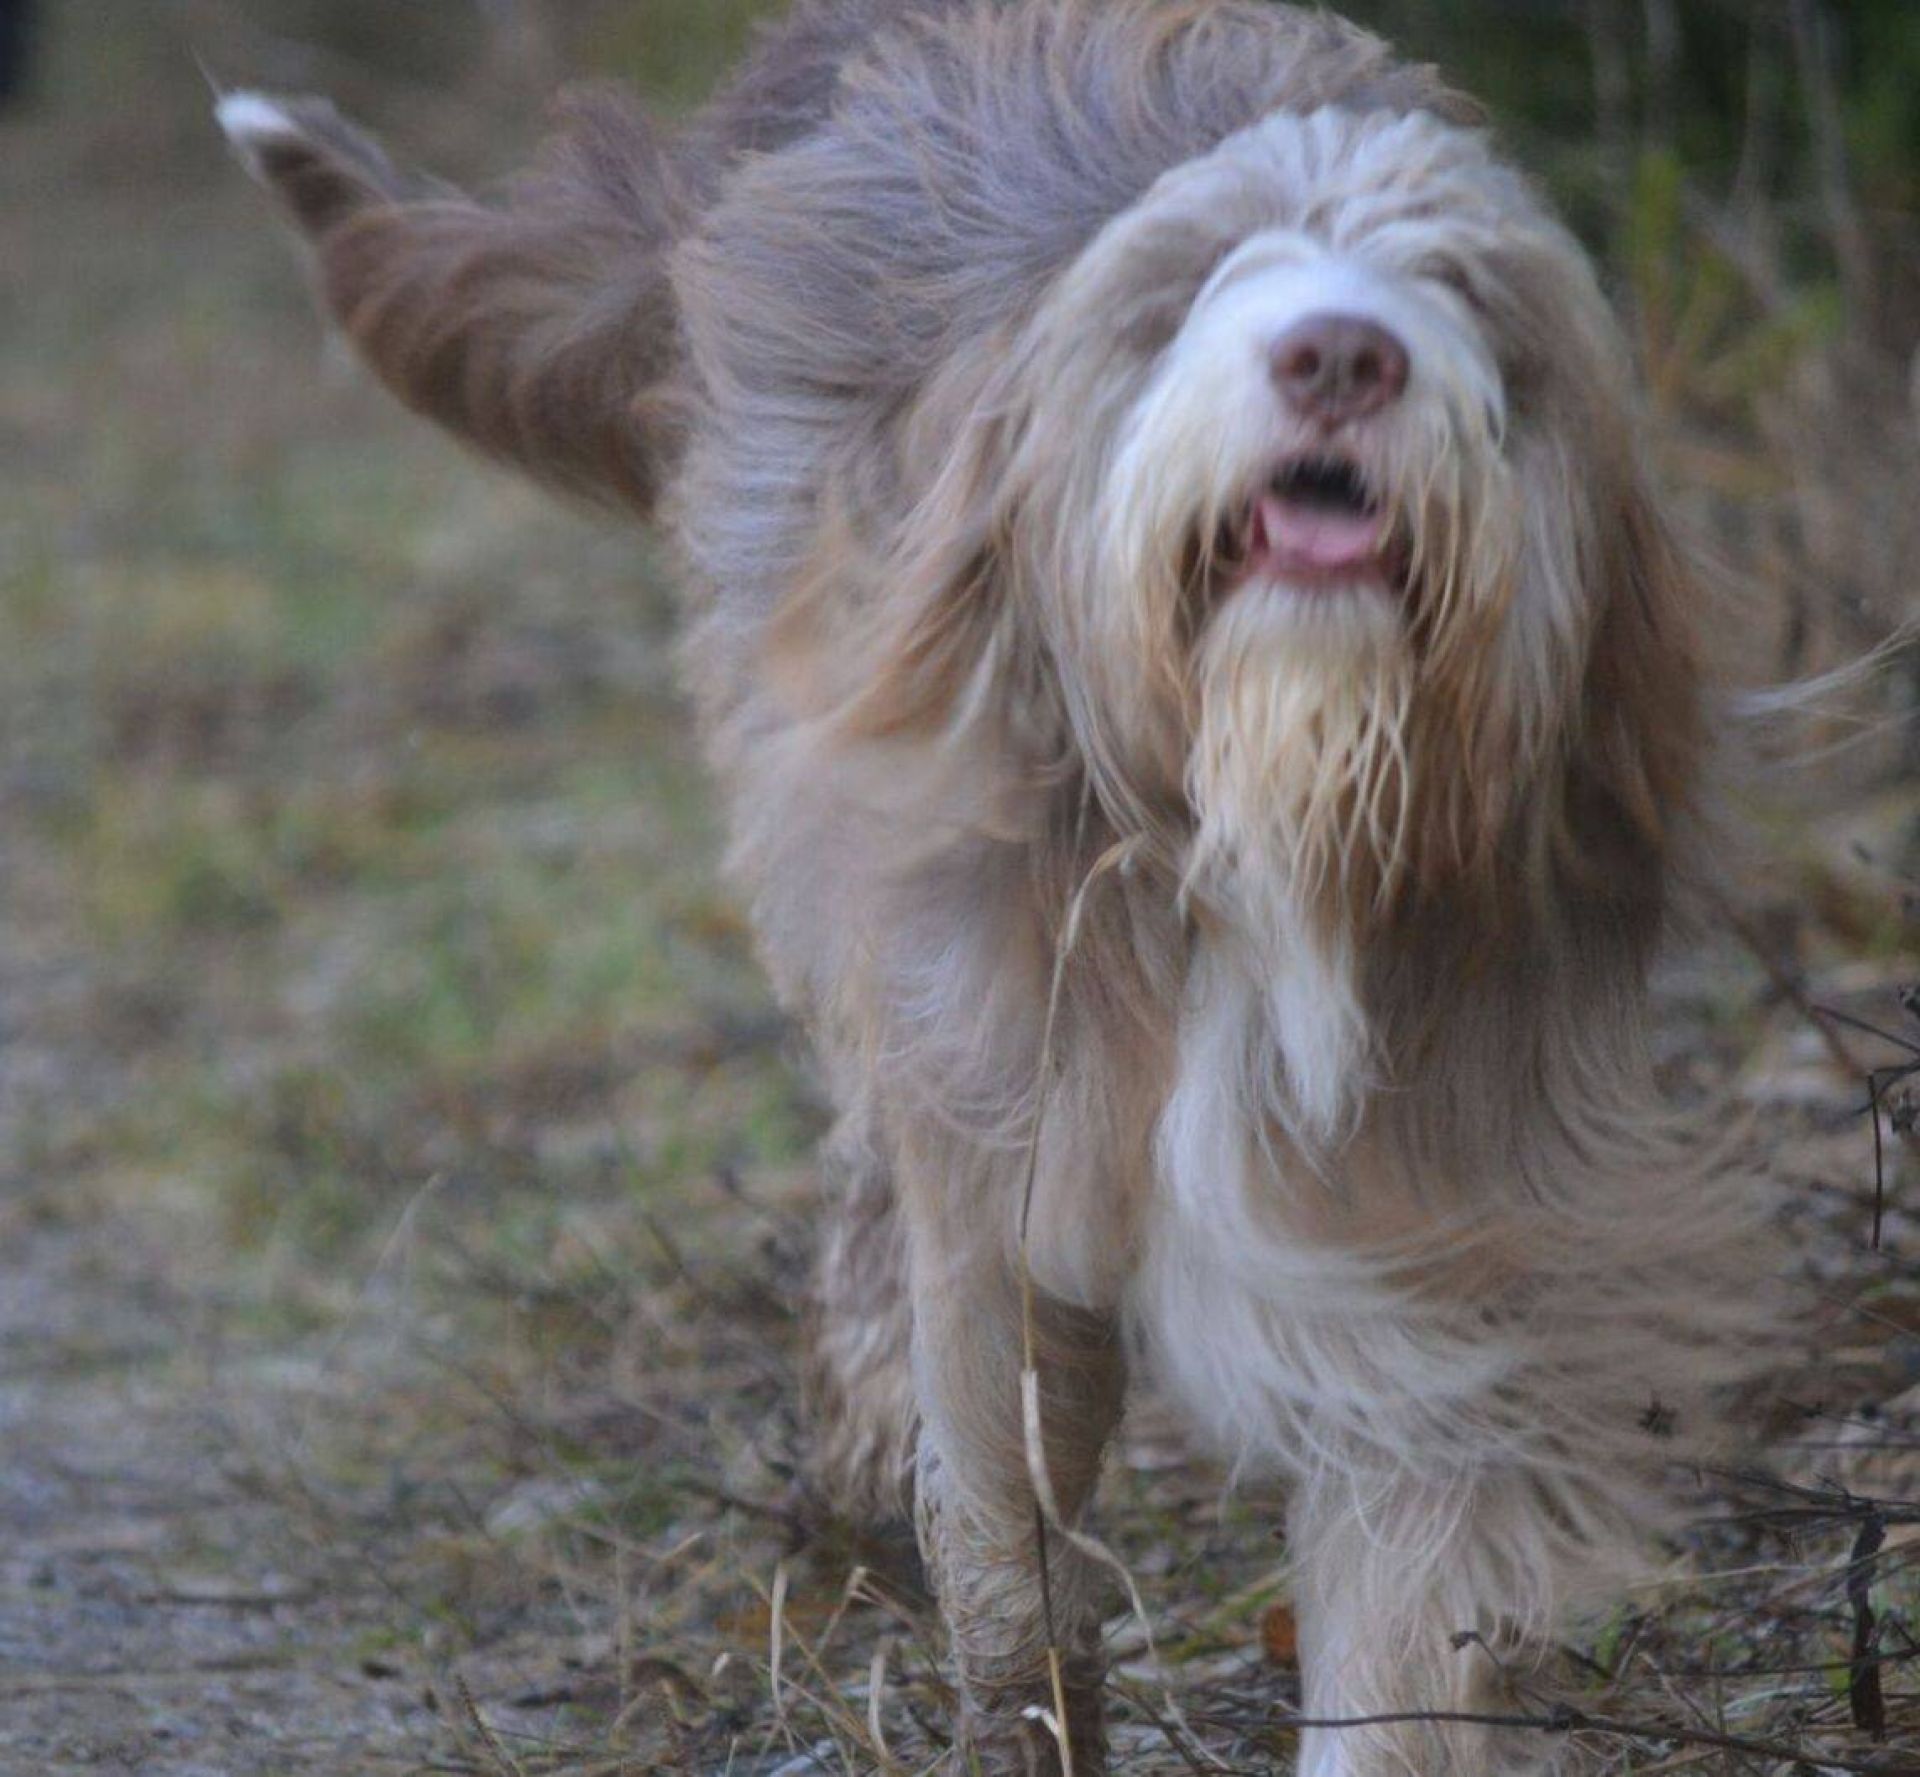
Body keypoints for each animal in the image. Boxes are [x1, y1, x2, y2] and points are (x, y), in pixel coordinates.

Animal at [220, 5, 1781, 1772]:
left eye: (1459, 290)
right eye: (1196, 286)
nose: (1340, 354)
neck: (1251, 817)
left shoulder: (1434, 1194)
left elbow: (1402, 1601)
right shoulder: (1006, 1128)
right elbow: (1005, 1515)